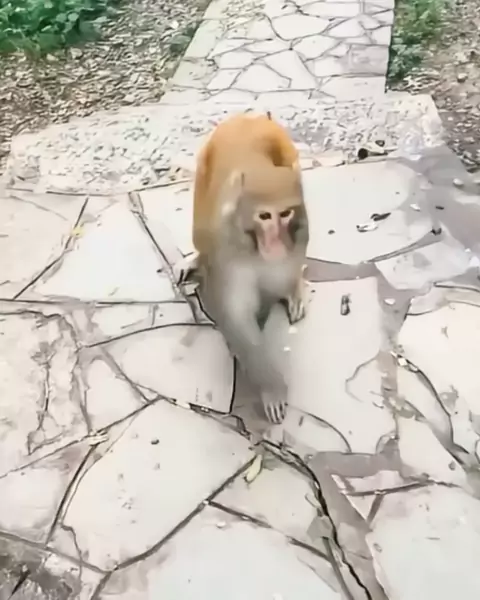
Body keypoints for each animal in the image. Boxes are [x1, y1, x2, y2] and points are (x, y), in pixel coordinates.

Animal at [176, 112, 309, 424]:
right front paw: (271, 388)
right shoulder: (228, 253)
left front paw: (291, 290)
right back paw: (197, 259)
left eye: (285, 213)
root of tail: (249, 116)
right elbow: (237, 315)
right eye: (264, 216)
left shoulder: (298, 234)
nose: (275, 242)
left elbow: (279, 279)